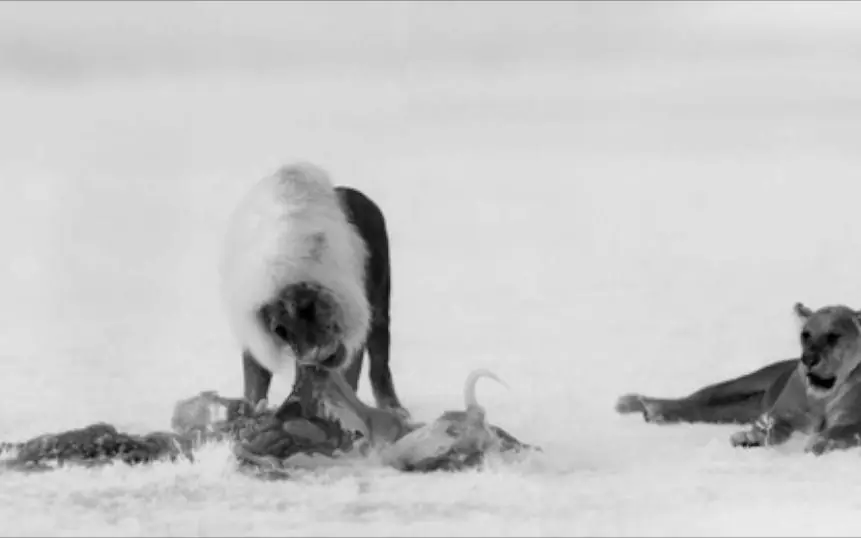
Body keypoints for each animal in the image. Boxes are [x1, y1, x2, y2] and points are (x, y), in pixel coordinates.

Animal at [220, 163, 405, 420]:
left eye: (312, 307)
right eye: (279, 329)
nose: (321, 357)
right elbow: (255, 382)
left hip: (380, 302)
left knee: (378, 357)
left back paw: (394, 408)